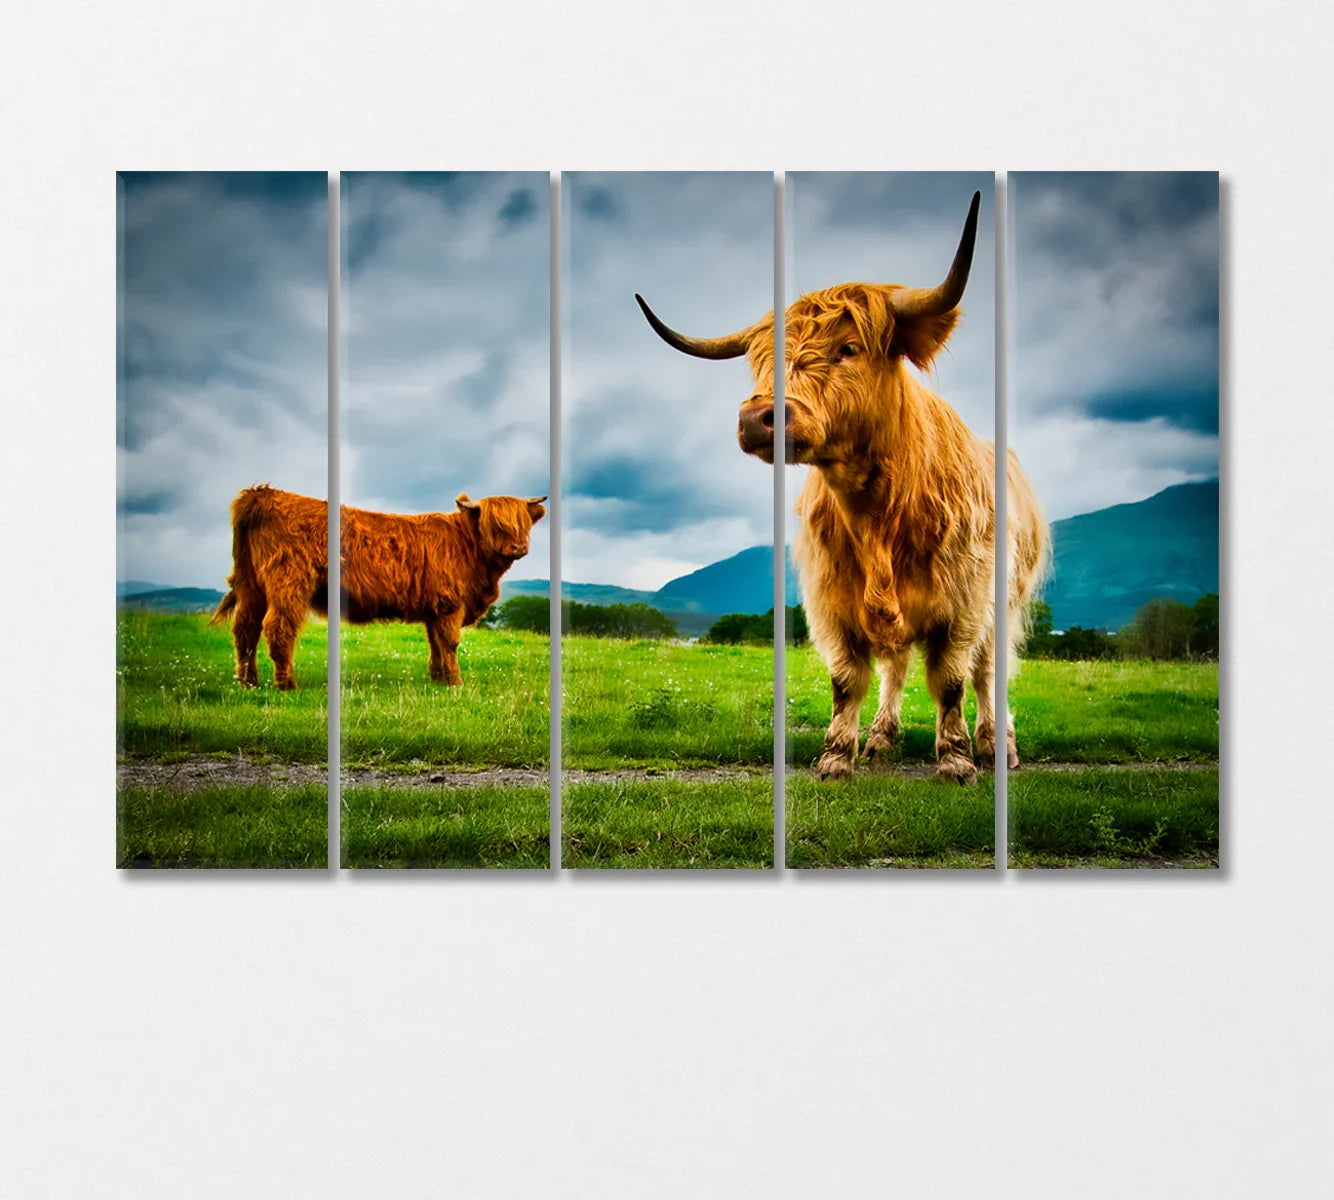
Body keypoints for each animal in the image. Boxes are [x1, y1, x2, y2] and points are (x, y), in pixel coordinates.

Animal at [210, 485, 546, 690]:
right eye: (496, 524)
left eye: (523, 524)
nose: (519, 547)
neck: (467, 544)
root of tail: (262, 494)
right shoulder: (450, 603)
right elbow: (450, 643)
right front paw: (455, 682)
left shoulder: (434, 608)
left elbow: (435, 643)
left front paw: (438, 678)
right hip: (287, 583)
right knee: (278, 627)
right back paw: (286, 684)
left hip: (251, 584)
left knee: (246, 628)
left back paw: (248, 682)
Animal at [636, 192, 1048, 784]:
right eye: (761, 361)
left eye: (849, 348)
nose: (758, 418)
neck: (880, 507)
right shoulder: (833, 600)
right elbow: (847, 678)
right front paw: (836, 757)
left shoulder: (964, 602)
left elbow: (950, 680)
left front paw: (955, 761)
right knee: (897, 666)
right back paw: (881, 737)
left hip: (1004, 605)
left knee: (989, 672)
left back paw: (998, 746)